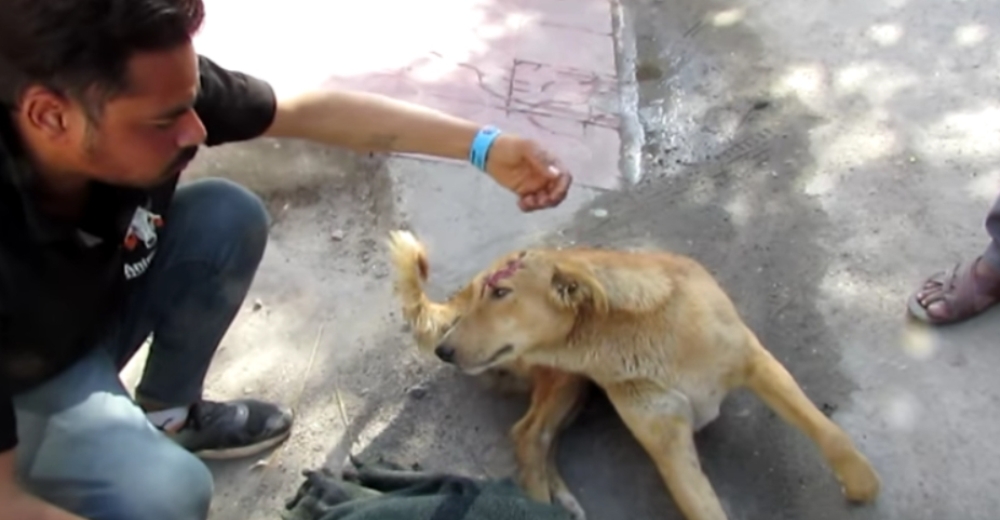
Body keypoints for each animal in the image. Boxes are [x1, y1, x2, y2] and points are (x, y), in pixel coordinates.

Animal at [386, 231, 880, 520]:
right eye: (489, 296)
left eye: (503, 293)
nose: (445, 351)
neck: (637, 338)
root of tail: (462, 286)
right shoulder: (666, 442)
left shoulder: (755, 361)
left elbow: (827, 431)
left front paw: (860, 482)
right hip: (567, 379)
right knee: (527, 435)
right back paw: (542, 504)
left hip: (576, 388)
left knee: (538, 436)